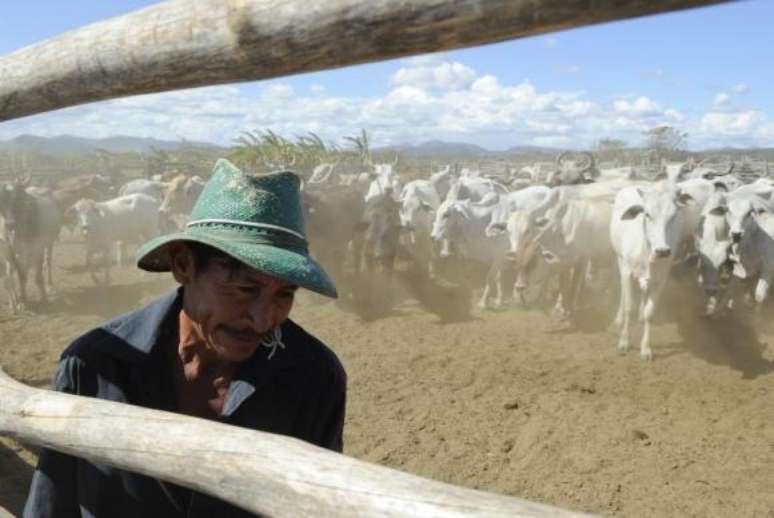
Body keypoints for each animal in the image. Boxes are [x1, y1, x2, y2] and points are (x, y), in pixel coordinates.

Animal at [616, 187, 696, 362]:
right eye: (647, 214)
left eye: (673, 215)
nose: (663, 251)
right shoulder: (627, 272)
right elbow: (629, 307)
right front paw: (624, 342)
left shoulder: (660, 280)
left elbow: (649, 313)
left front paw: (645, 349)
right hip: (619, 260)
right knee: (623, 294)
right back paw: (618, 317)